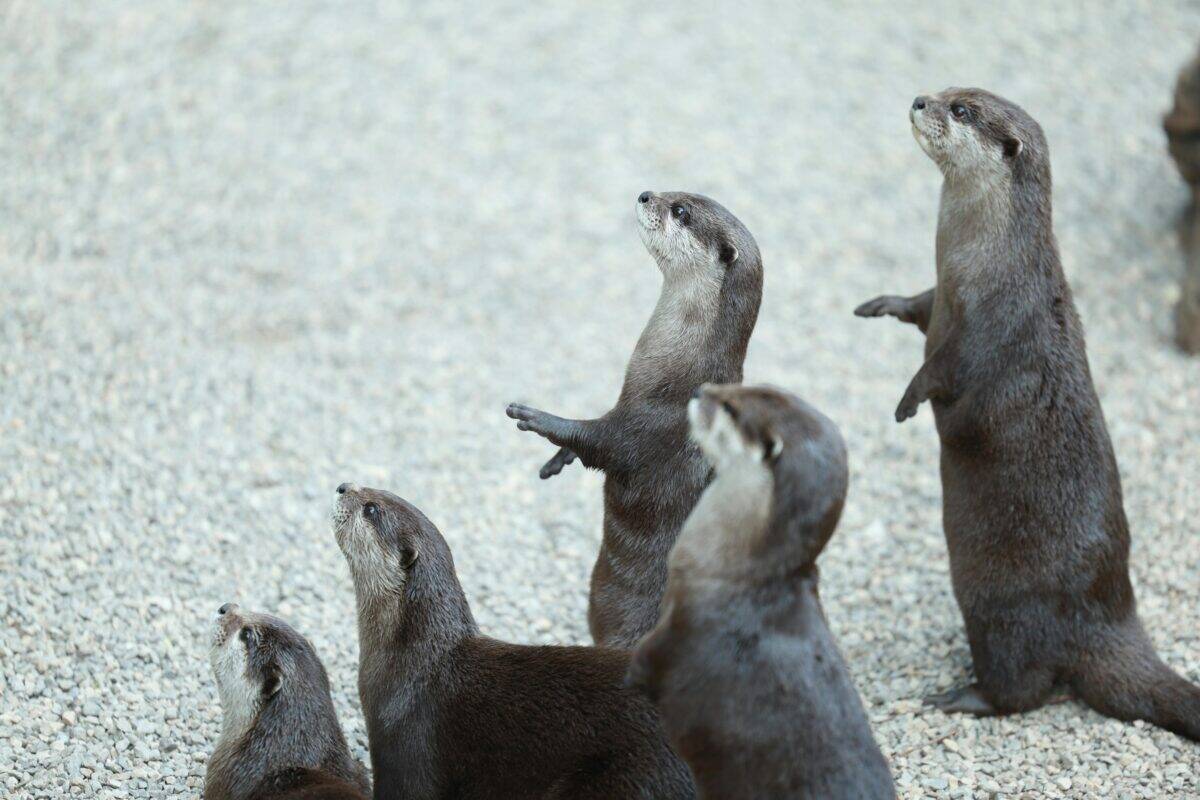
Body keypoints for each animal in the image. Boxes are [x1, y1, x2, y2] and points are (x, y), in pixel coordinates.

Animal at [507, 190, 763, 647]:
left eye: (680, 211)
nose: (645, 194)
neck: (681, 374)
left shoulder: (652, 427)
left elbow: (600, 442)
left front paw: (538, 419)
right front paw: (559, 458)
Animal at [855, 87, 1200, 739]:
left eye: (962, 111)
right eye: (948, 91)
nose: (919, 99)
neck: (984, 265)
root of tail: (1106, 620)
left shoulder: (989, 327)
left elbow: (945, 372)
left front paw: (907, 400)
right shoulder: (940, 298)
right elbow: (918, 305)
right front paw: (881, 303)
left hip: (1002, 613)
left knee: (1025, 689)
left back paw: (960, 696)